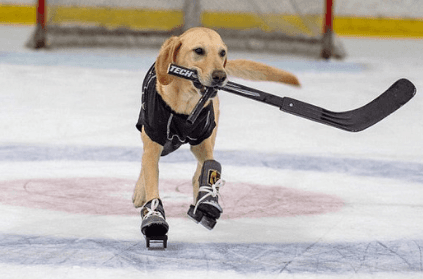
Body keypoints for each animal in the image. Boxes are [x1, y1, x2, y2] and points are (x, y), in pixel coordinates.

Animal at [133, 27, 302, 238]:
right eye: (199, 51)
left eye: (222, 53)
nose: (221, 76)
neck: (184, 107)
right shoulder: (153, 141)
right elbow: (151, 179)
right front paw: (154, 215)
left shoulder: (203, 142)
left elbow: (209, 166)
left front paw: (207, 199)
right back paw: (140, 192)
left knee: (197, 171)